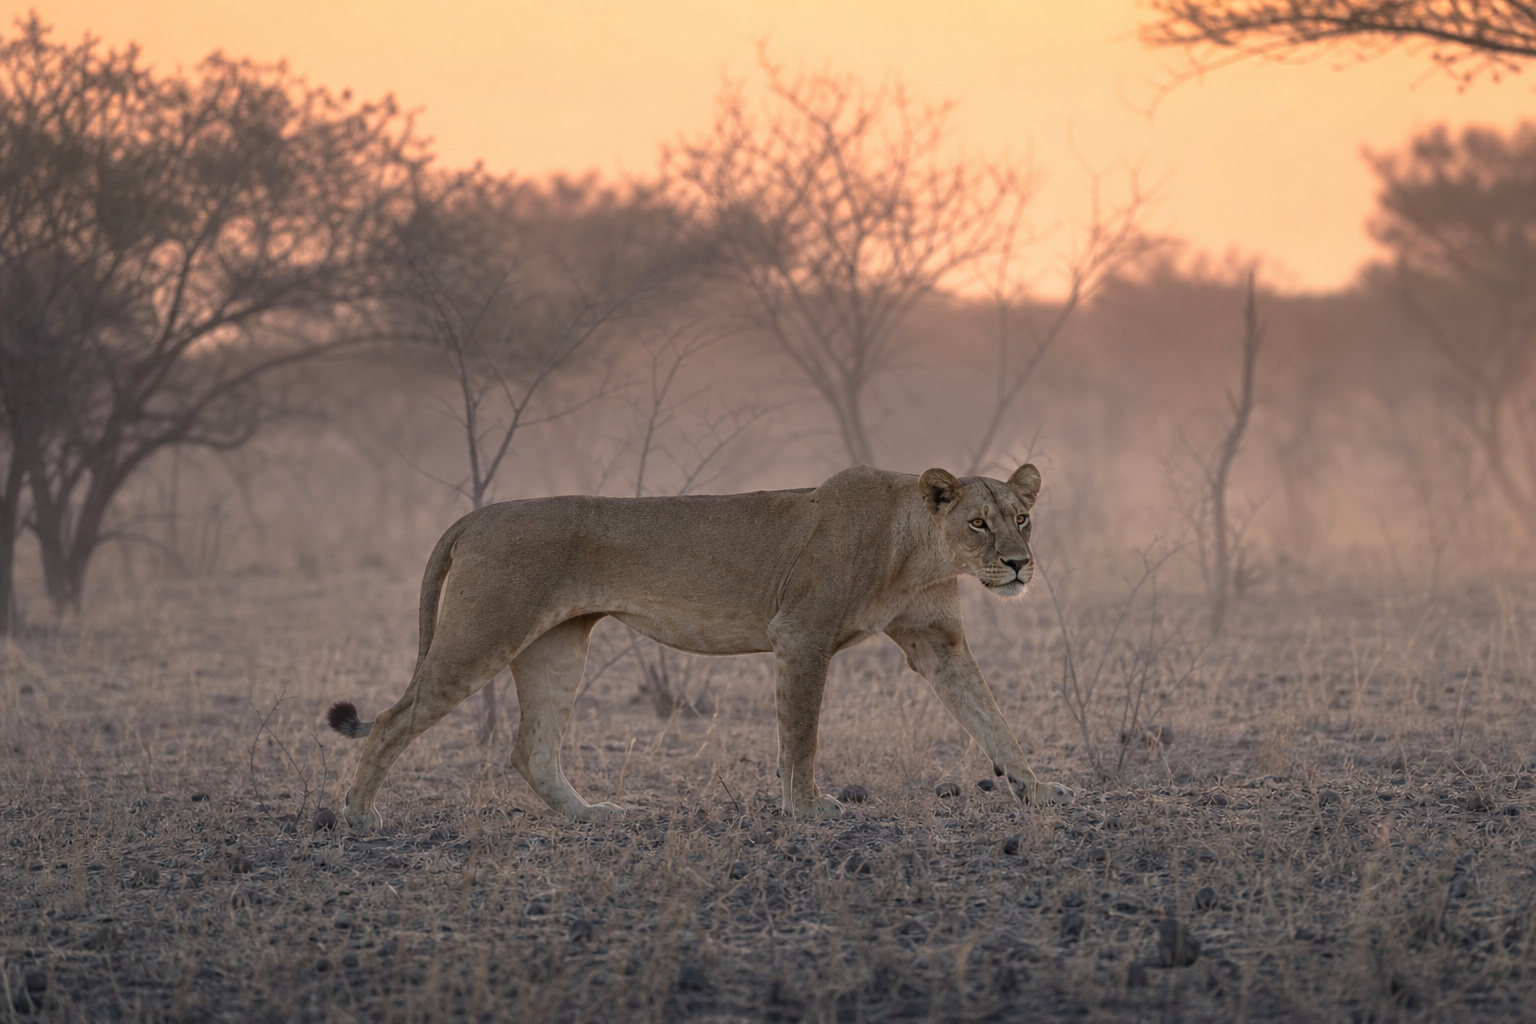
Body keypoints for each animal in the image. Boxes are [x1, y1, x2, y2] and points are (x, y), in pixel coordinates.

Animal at [326, 464, 1072, 829]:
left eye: (1023, 518)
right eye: (978, 523)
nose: (1018, 566)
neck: (918, 550)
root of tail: (479, 514)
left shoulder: (936, 642)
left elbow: (991, 720)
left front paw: (1038, 790)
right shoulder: (801, 633)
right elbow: (801, 735)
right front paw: (807, 811)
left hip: (556, 648)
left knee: (530, 749)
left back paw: (592, 817)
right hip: (482, 633)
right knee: (391, 721)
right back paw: (359, 817)